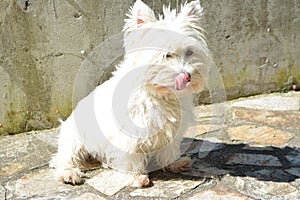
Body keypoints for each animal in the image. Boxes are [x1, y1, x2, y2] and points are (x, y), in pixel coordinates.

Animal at [50, 0, 212, 188]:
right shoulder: (127, 132)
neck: (157, 93)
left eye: (189, 52)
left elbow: (169, 149)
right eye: (166, 55)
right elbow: (131, 154)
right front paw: (137, 177)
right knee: (63, 159)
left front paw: (174, 163)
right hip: (75, 139)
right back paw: (68, 173)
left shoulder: (171, 128)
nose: (187, 75)